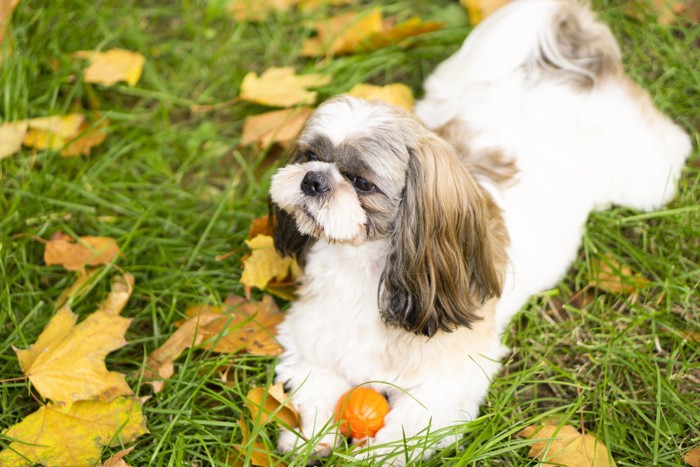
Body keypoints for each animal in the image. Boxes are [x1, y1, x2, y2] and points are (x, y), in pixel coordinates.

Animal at [266, 0, 688, 464]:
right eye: (310, 155)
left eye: (362, 182)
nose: (313, 180)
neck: (363, 270)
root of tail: (572, 64)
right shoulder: (308, 341)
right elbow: (318, 387)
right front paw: (309, 439)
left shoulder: (445, 388)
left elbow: (403, 435)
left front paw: (365, 456)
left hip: (646, 179)